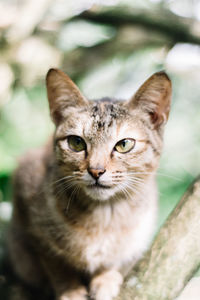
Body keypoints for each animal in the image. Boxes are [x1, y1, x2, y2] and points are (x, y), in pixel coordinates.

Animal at [7, 68, 172, 300]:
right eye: (76, 142)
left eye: (124, 144)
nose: (96, 171)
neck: (104, 215)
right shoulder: (28, 203)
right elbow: (53, 260)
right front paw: (69, 289)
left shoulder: (139, 236)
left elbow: (118, 257)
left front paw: (106, 278)